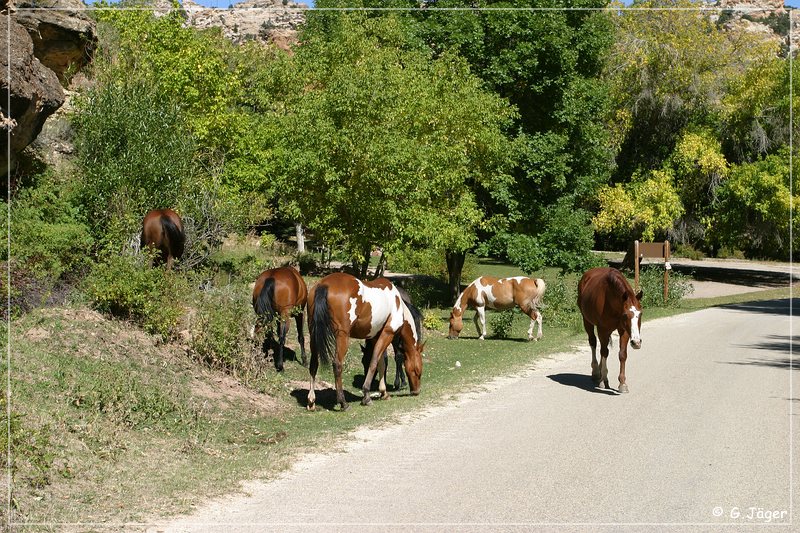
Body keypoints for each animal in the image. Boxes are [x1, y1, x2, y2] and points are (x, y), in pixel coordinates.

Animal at [304, 272, 424, 410]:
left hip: (313, 334)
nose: (416, 391)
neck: (398, 304)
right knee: (337, 364)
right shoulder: (387, 334)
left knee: (313, 365)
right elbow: (374, 362)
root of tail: (324, 284)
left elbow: (381, 363)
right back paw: (343, 402)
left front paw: (383, 392)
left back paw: (311, 401)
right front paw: (366, 396)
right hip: (342, 337)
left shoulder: (375, 337)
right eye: (418, 371)